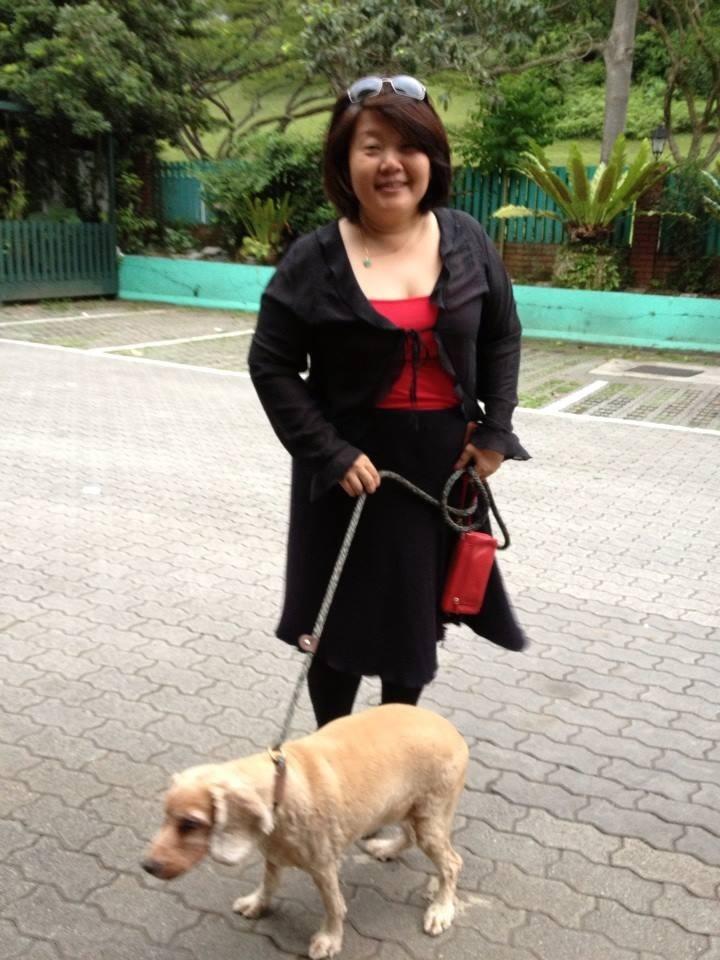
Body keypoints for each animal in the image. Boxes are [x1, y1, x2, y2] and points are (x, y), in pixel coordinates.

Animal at [142, 703, 468, 958]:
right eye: (166, 815)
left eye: (191, 823)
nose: (147, 866)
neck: (281, 789)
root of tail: (454, 733)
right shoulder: (272, 854)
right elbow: (269, 884)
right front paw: (257, 904)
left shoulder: (324, 866)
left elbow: (334, 906)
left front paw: (330, 939)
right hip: (408, 808)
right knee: (410, 836)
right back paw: (386, 848)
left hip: (430, 816)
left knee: (452, 864)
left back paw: (440, 909)